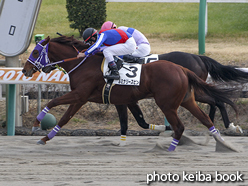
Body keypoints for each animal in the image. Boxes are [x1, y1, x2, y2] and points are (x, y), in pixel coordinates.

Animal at [22, 36, 236, 151]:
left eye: (35, 52)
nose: (25, 70)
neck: (83, 63)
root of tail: (183, 69)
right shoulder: (108, 99)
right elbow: (66, 118)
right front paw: (45, 138)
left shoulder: (80, 95)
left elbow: (54, 104)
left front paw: (37, 123)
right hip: (186, 99)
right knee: (206, 116)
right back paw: (222, 142)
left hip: (167, 104)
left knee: (182, 124)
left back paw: (173, 147)